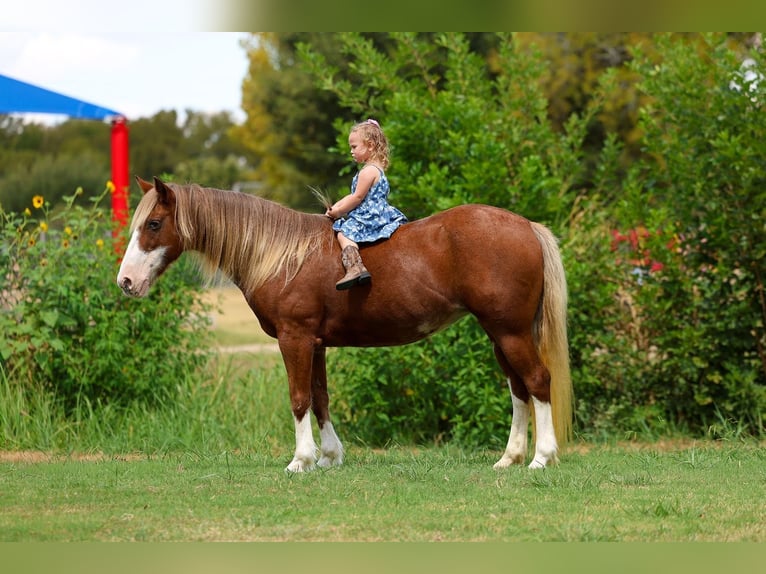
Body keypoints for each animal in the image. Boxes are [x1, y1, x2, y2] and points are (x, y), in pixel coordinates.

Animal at [117, 177, 573, 472]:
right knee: (518, 390)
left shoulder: (295, 338)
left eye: (153, 224)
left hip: (510, 332)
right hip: (500, 334)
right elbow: (320, 398)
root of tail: (526, 227)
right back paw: (510, 458)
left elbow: (299, 397)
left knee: (537, 381)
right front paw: (329, 456)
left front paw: (300, 461)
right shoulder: (315, 343)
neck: (283, 255)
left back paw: (541, 458)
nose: (126, 282)